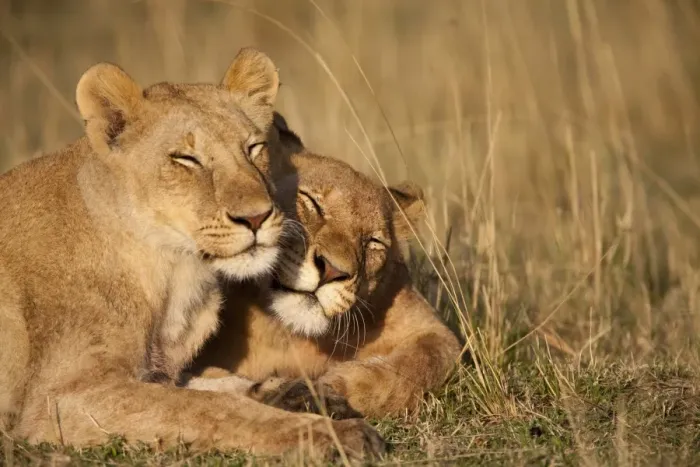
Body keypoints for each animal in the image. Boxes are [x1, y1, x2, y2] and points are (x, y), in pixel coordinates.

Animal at [0, 49, 385, 460]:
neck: (175, 272)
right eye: (186, 159)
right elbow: (209, 407)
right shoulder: (59, 399)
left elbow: (217, 381)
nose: (256, 217)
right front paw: (333, 434)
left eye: (253, 149)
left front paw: (301, 395)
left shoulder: (161, 369)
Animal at [186, 115, 462, 419]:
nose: (332, 271)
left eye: (372, 242)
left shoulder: (431, 328)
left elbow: (425, 361)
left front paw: (340, 384)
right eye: (312, 202)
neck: (290, 334)